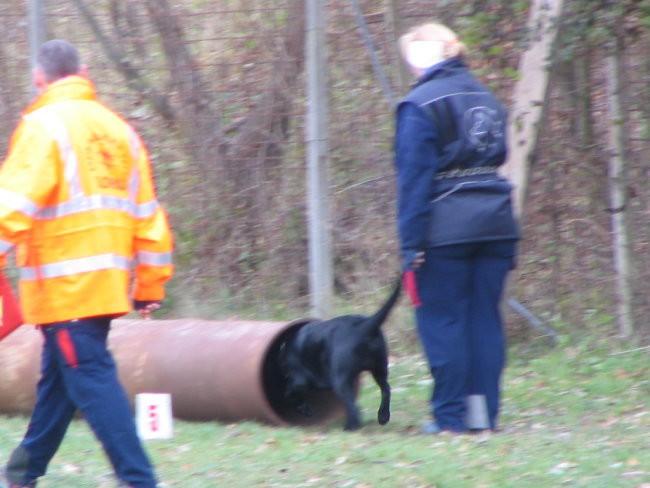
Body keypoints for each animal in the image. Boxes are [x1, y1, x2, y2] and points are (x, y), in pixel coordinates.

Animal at [278, 280, 400, 428]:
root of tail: (364, 326)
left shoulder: (299, 380)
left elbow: (289, 395)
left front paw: (305, 409)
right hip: (379, 368)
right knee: (385, 388)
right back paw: (383, 416)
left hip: (339, 380)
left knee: (354, 407)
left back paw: (350, 427)